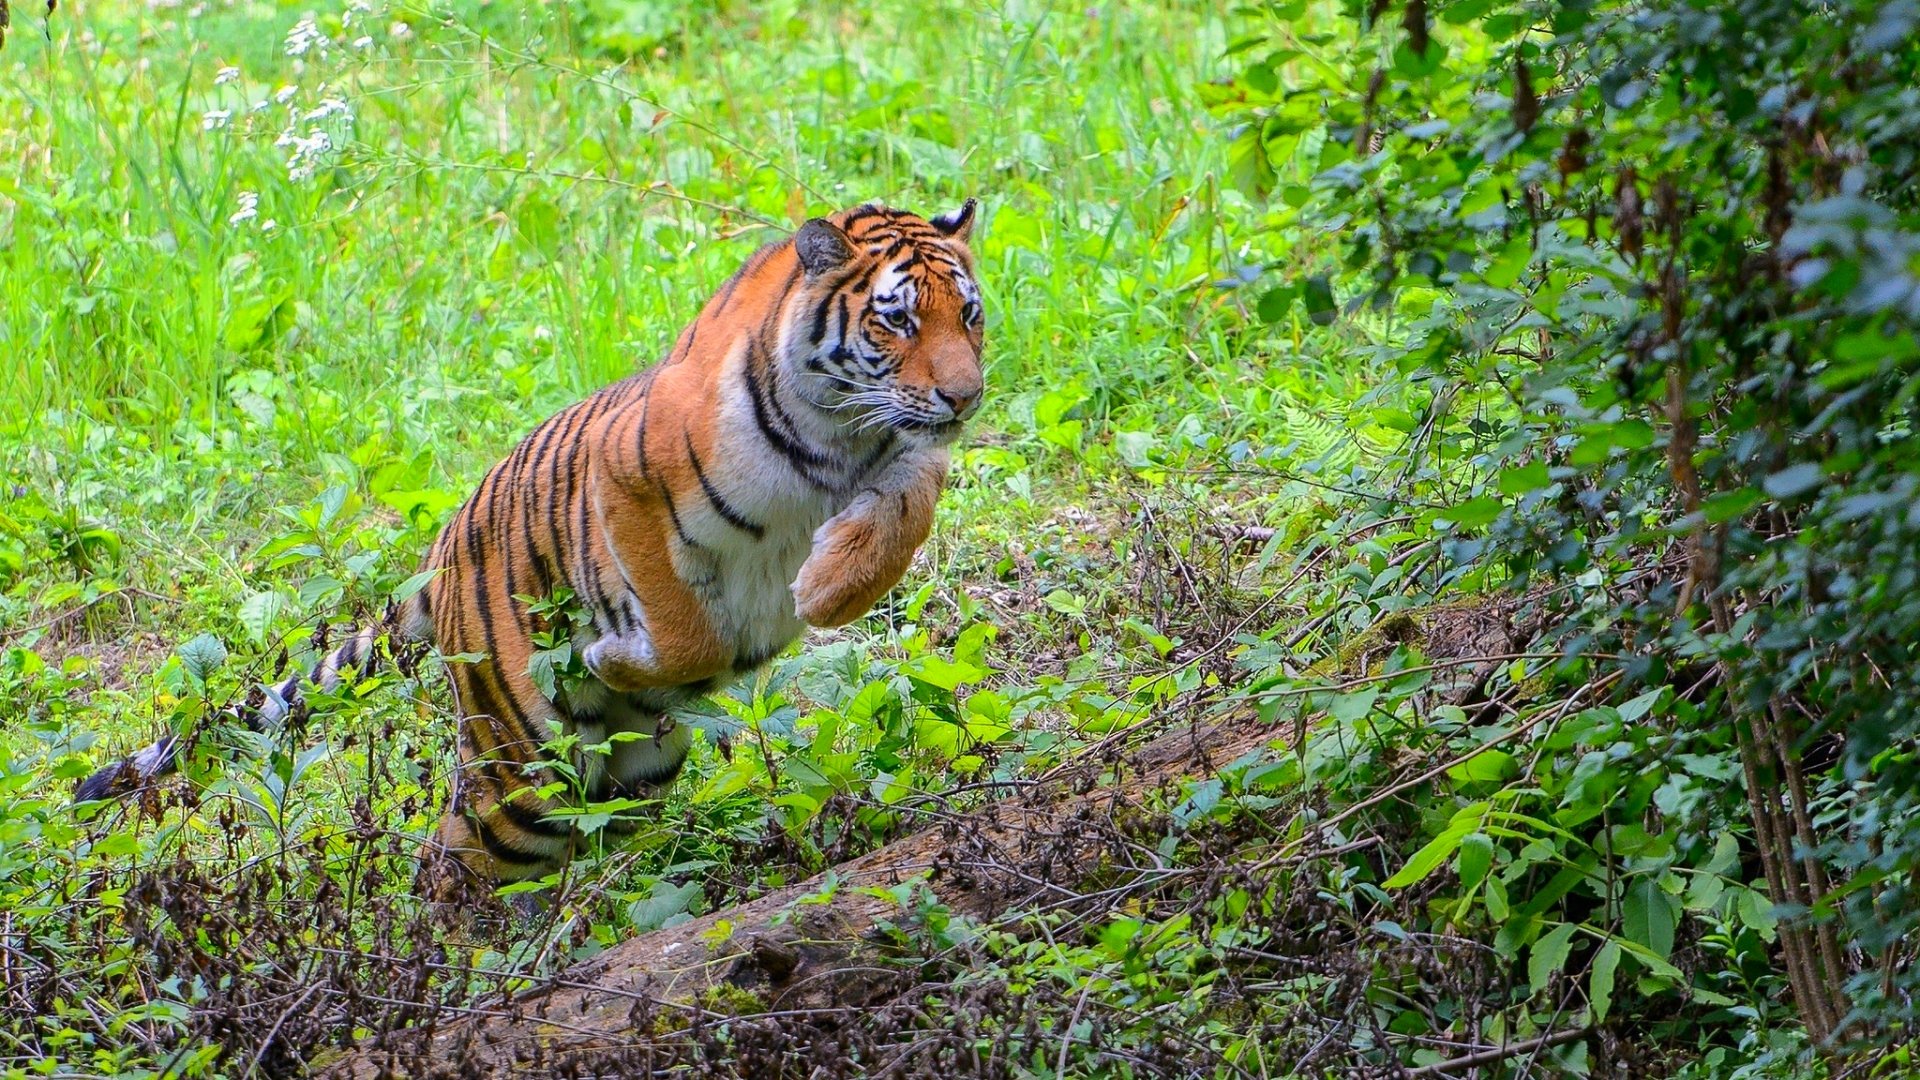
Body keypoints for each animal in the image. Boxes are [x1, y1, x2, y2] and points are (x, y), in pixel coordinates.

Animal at [75, 199, 986, 891]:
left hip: (638, 761)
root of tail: (438, 557)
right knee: (455, 866)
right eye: (896, 320)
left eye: (969, 314)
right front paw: (634, 652)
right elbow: (682, 625)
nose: (966, 395)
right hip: (519, 768)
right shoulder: (627, 479)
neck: (836, 435)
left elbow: (901, 517)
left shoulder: (907, 457)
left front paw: (824, 587)